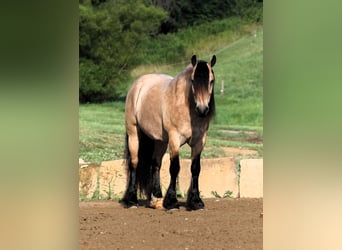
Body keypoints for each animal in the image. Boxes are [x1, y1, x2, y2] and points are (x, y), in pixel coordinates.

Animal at [121, 55, 216, 211]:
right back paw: (132, 200)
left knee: (156, 164)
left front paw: (196, 201)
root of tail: (138, 85)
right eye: (193, 80)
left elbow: (196, 169)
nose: (202, 109)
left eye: (211, 81)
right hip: (134, 134)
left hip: (160, 141)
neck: (187, 108)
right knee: (134, 163)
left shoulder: (199, 142)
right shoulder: (174, 139)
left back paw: (156, 199)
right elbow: (175, 168)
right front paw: (172, 201)